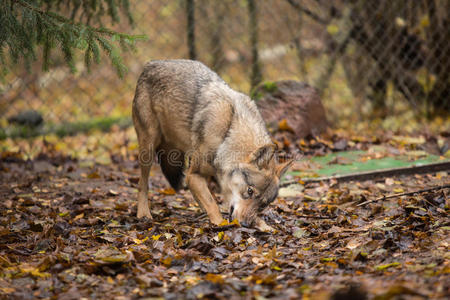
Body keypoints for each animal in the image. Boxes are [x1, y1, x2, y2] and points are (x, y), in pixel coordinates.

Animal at [131, 59, 292, 231]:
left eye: (262, 205)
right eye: (249, 191)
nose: (245, 224)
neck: (227, 135)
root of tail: (151, 64)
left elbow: (213, 200)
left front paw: (263, 225)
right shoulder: (193, 175)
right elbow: (212, 203)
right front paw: (220, 224)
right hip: (148, 148)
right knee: (142, 184)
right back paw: (143, 214)